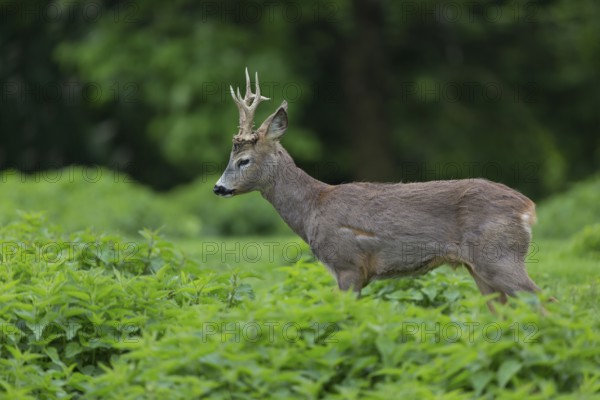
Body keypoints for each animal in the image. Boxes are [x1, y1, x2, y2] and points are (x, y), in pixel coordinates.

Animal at [213, 70, 540, 310]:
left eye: (244, 160)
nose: (218, 187)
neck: (312, 209)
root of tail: (528, 208)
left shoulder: (347, 264)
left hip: (498, 254)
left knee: (541, 299)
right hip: (480, 267)